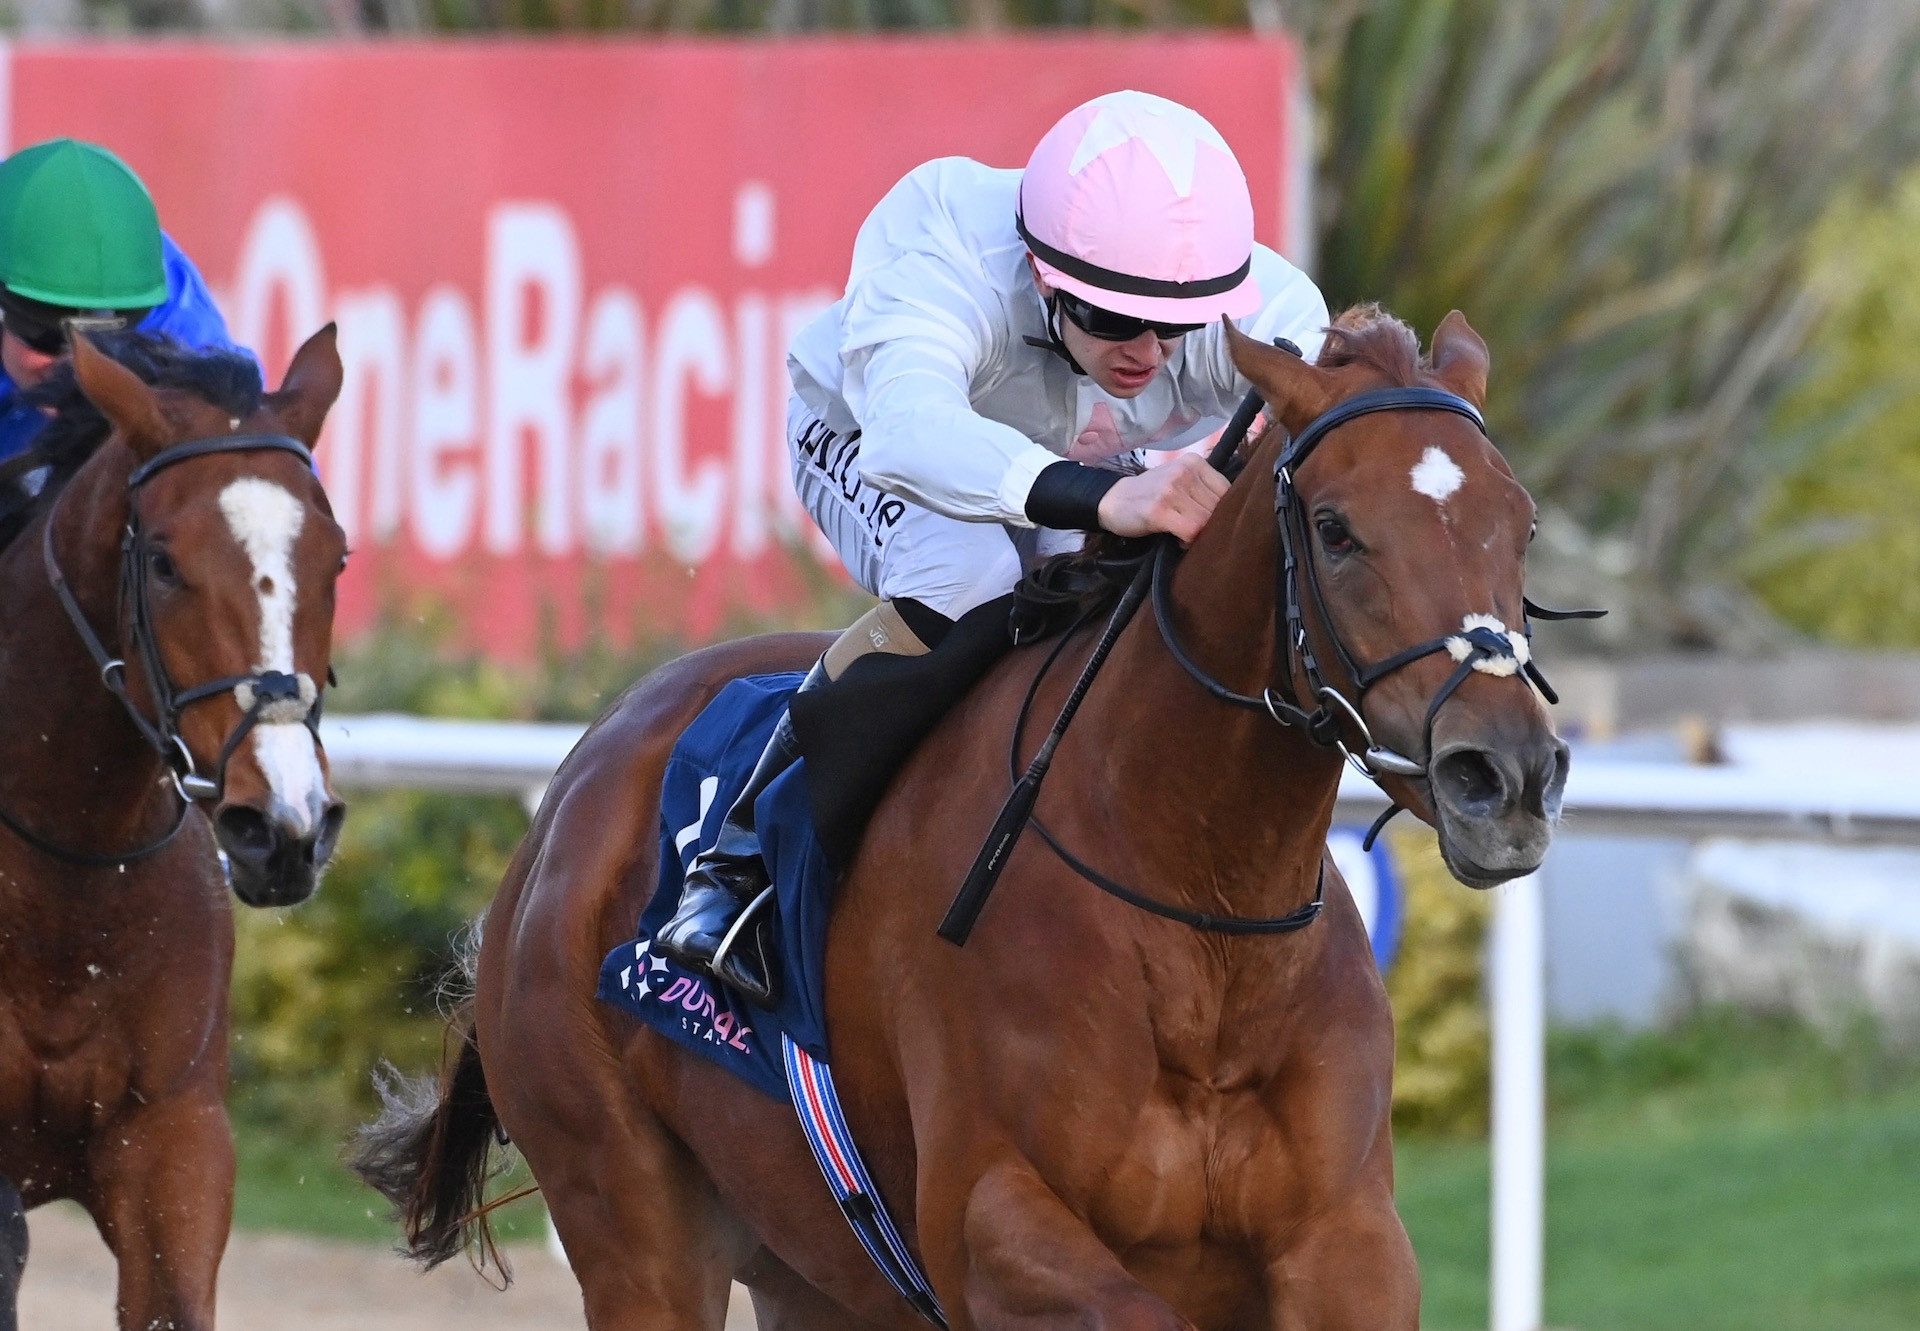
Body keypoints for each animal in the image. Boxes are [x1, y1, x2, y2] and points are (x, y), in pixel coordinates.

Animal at [362, 305, 1574, 1321]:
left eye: (1519, 524)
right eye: (1333, 527)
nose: (1504, 776)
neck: (1200, 921)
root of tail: (564, 804)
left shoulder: (1345, 1239)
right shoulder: (990, 1218)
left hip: (817, 1276)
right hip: (632, 1218)